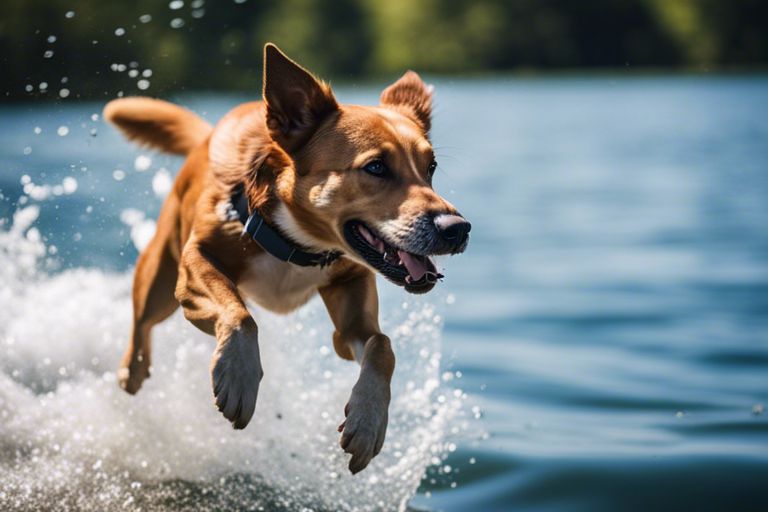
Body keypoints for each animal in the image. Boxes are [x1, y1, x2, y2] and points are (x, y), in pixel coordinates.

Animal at [105, 45, 472, 476]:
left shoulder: (349, 313)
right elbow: (239, 315)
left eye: (430, 168)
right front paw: (240, 377)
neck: (299, 243)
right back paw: (133, 369)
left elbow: (382, 345)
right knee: (141, 320)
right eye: (376, 167)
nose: (457, 228)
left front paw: (368, 421)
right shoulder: (196, 263)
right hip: (160, 281)